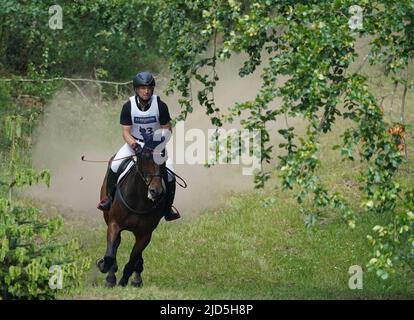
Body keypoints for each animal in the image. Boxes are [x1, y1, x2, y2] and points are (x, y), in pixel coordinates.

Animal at [95, 134, 168, 288]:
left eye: (163, 161)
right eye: (145, 158)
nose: (156, 191)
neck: (139, 199)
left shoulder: (145, 233)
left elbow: (132, 258)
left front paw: (124, 280)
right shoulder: (114, 224)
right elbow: (110, 255)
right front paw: (104, 267)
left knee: (137, 255)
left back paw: (136, 277)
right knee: (116, 244)